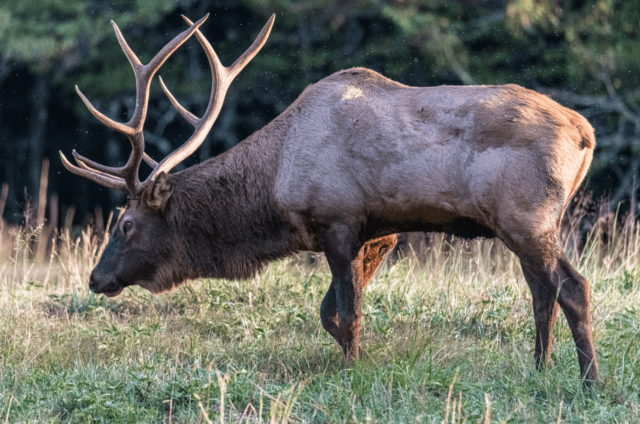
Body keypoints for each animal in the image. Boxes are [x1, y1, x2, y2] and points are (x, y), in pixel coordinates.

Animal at [60, 13, 598, 385]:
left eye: (126, 224)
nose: (96, 277)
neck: (275, 183)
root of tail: (585, 132)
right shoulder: (377, 233)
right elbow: (330, 313)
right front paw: (358, 359)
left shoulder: (339, 221)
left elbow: (347, 312)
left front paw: (352, 370)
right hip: (528, 226)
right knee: (545, 293)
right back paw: (541, 370)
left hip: (526, 218)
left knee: (571, 287)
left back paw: (586, 381)